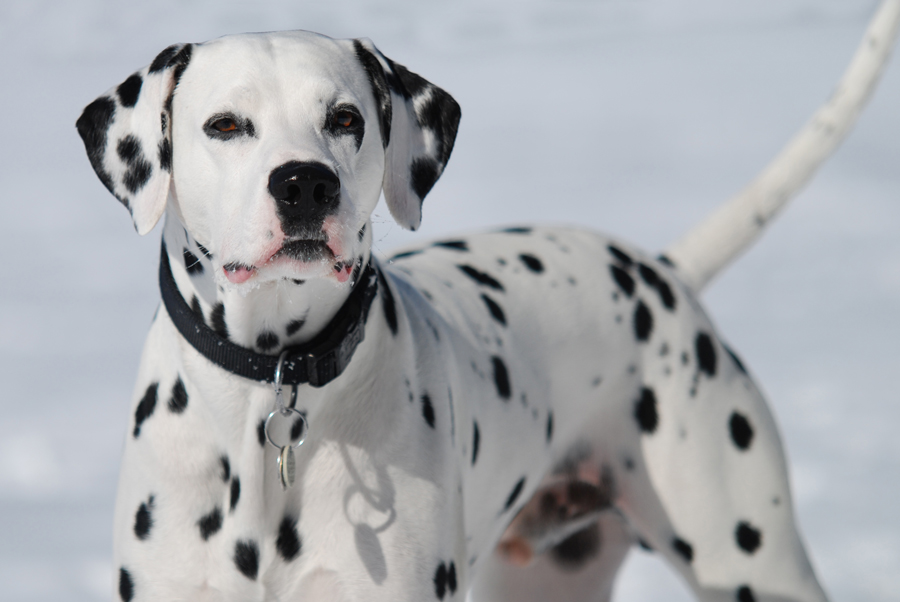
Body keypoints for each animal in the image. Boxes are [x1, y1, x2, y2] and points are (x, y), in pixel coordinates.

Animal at [77, 5, 900, 600]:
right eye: (224, 125)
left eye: (345, 119)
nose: (305, 183)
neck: (274, 392)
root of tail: (661, 270)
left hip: (753, 560)